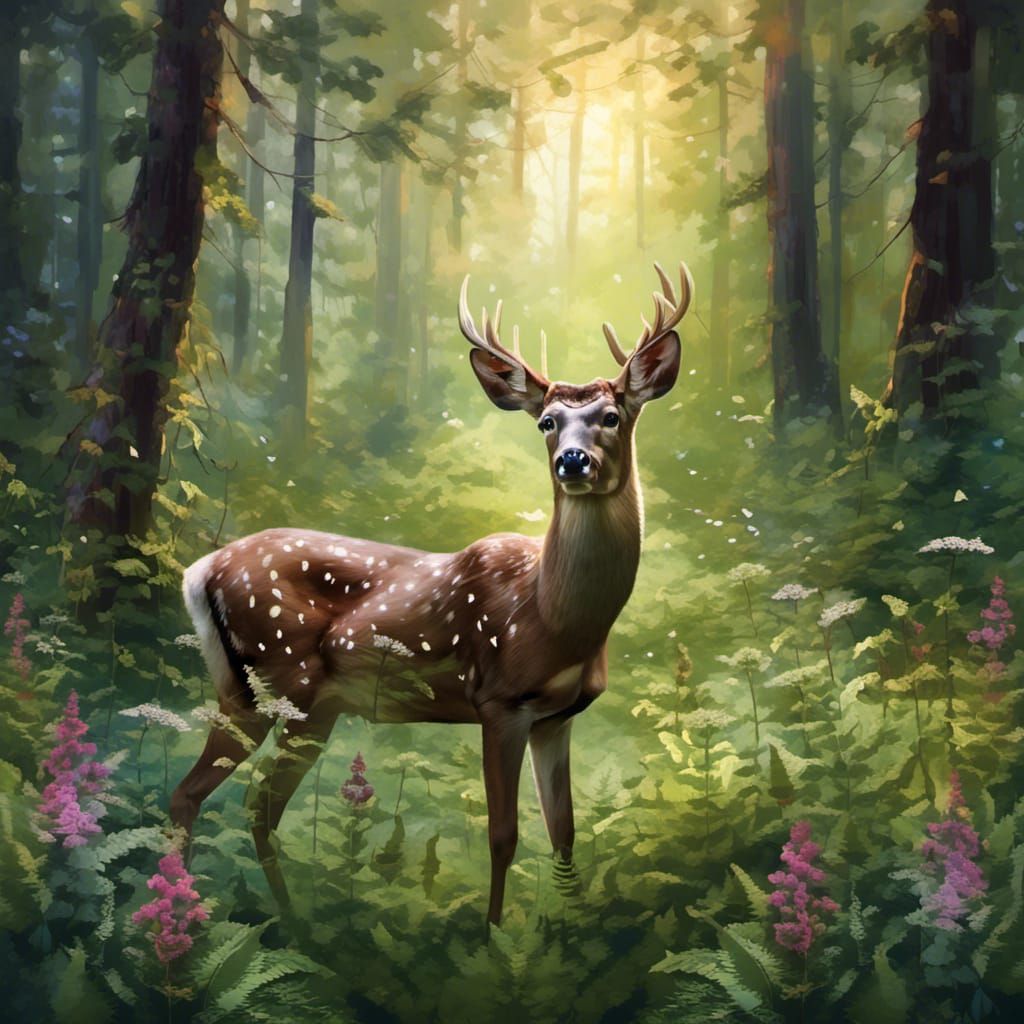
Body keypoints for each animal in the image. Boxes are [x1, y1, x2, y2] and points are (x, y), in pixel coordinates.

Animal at [171, 262, 692, 926]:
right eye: (546, 422)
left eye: (612, 416)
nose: (573, 461)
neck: (555, 617)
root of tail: (200, 569)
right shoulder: (498, 700)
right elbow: (504, 836)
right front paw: (493, 935)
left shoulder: (557, 718)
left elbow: (564, 832)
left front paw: (570, 928)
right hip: (274, 679)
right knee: (203, 796)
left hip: (304, 704)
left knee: (252, 807)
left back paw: (287, 922)